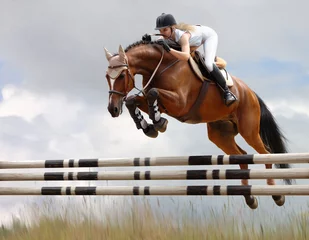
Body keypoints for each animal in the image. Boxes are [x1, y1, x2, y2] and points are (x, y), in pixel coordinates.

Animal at [104, 40, 290, 209]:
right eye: (107, 76)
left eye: (121, 76)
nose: (112, 109)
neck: (161, 65)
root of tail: (250, 92)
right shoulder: (160, 103)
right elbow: (132, 100)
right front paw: (148, 127)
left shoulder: (180, 103)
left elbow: (153, 93)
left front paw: (158, 122)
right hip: (220, 135)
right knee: (242, 156)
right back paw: (249, 197)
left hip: (248, 130)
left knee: (265, 154)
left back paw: (276, 194)